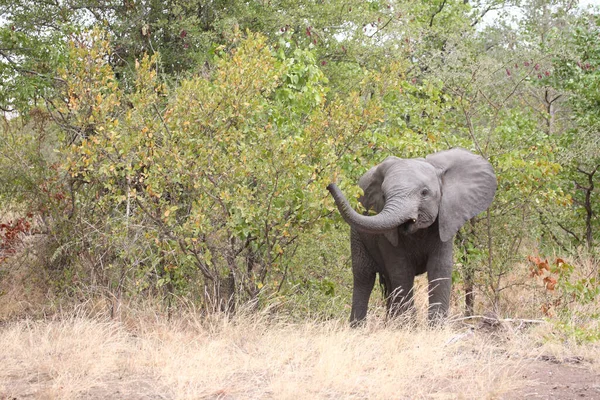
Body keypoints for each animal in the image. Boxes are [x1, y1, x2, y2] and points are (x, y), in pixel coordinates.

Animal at [328, 148, 496, 324]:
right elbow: (401, 271)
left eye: (424, 193)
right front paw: (407, 325)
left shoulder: (445, 219)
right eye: (383, 196)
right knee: (364, 278)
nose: (329, 185)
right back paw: (360, 327)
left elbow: (440, 268)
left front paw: (435, 326)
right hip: (357, 235)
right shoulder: (386, 236)